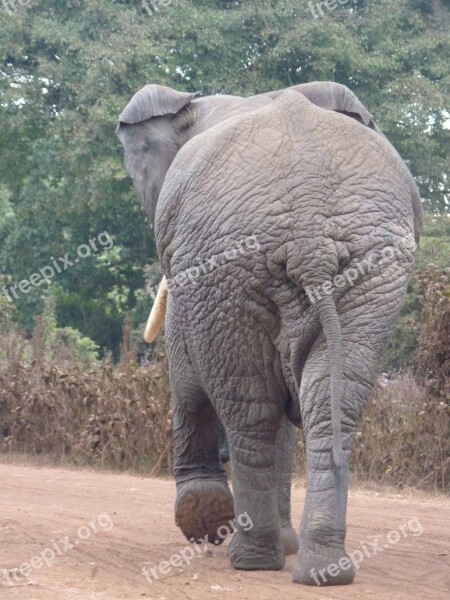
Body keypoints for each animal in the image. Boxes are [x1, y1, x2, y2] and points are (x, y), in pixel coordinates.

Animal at [117, 82, 422, 584]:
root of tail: (310, 228)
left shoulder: (185, 263)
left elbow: (186, 369)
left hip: (224, 267)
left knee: (250, 406)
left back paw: (248, 554)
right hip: (370, 268)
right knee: (327, 400)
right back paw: (322, 569)